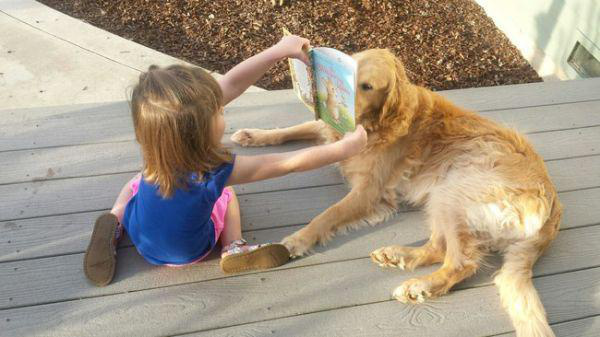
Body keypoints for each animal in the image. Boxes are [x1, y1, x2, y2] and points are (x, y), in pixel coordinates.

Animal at [231, 48, 564, 334]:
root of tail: (553, 207)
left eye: (366, 86)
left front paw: (299, 240)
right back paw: (397, 256)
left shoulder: (369, 191)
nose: (332, 100)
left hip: (455, 188)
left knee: (460, 262)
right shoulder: (329, 132)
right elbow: (292, 130)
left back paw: (420, 286)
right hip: (443, 195)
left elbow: (328, 215)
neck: (381, 122)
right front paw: (253, 135)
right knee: (438, 247)